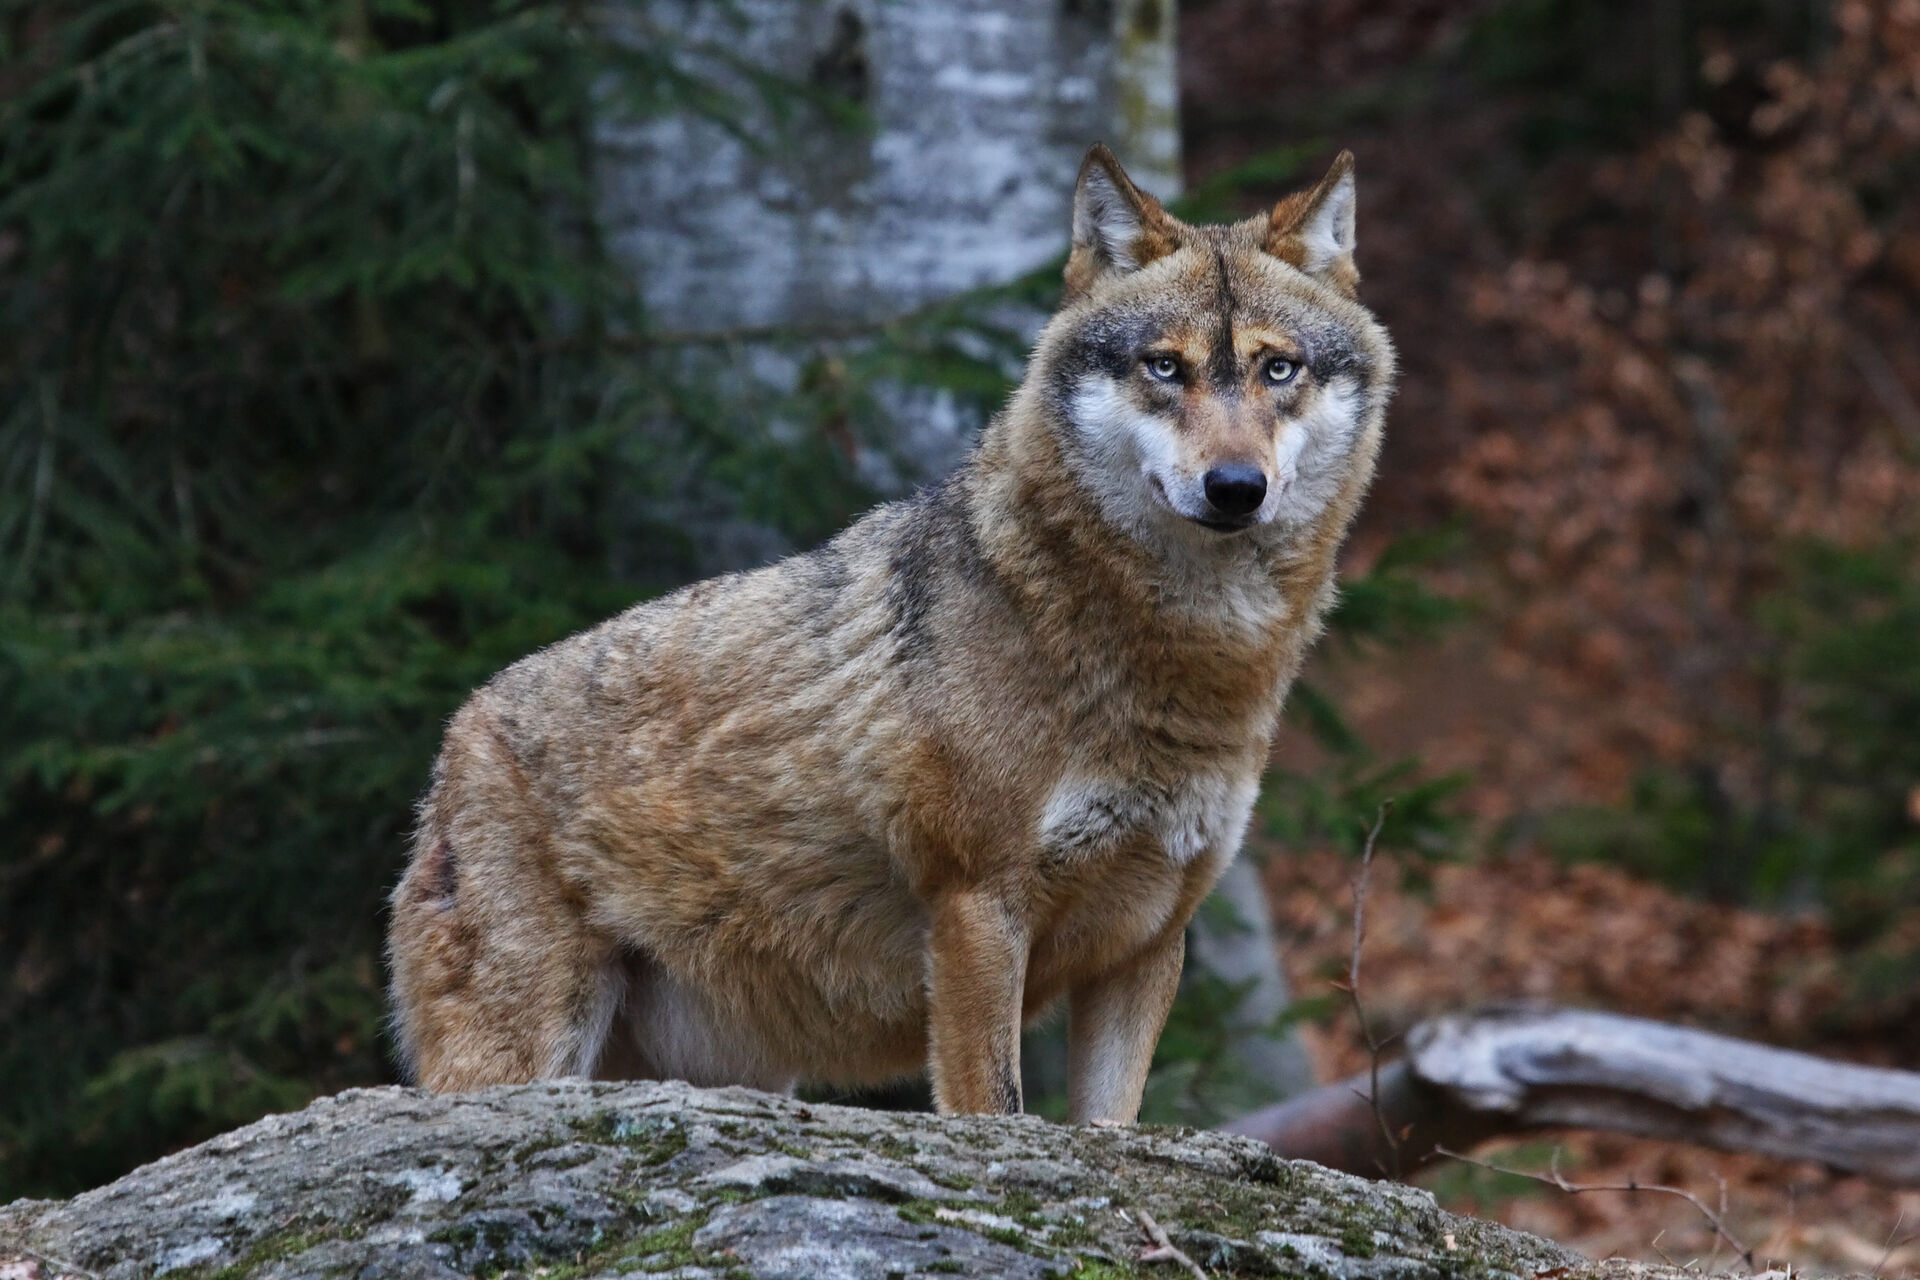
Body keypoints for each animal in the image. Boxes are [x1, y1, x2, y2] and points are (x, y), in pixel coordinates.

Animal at [385, 142, 1397, 1120]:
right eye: (1164, 367)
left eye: (1278, 369)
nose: (1235, 487)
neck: (1185, 661)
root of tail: (458, 730)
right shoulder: (978, 909)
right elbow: (994, 1110)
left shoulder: (1149, 942)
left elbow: (1109, 1129)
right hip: (526, 1054)